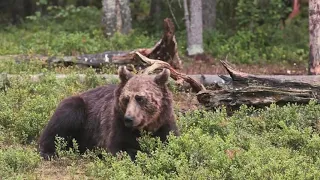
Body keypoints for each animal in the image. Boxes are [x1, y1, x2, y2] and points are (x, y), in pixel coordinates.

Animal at [37, 66, 180, 160]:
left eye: (140, 98)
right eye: (126, 99)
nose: (129, 118)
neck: (146, 126)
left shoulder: (164, 122)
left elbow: (170, 142)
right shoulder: (116, 124)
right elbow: (119, 147)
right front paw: (140, 153)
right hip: (79, 110)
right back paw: (49, 152)